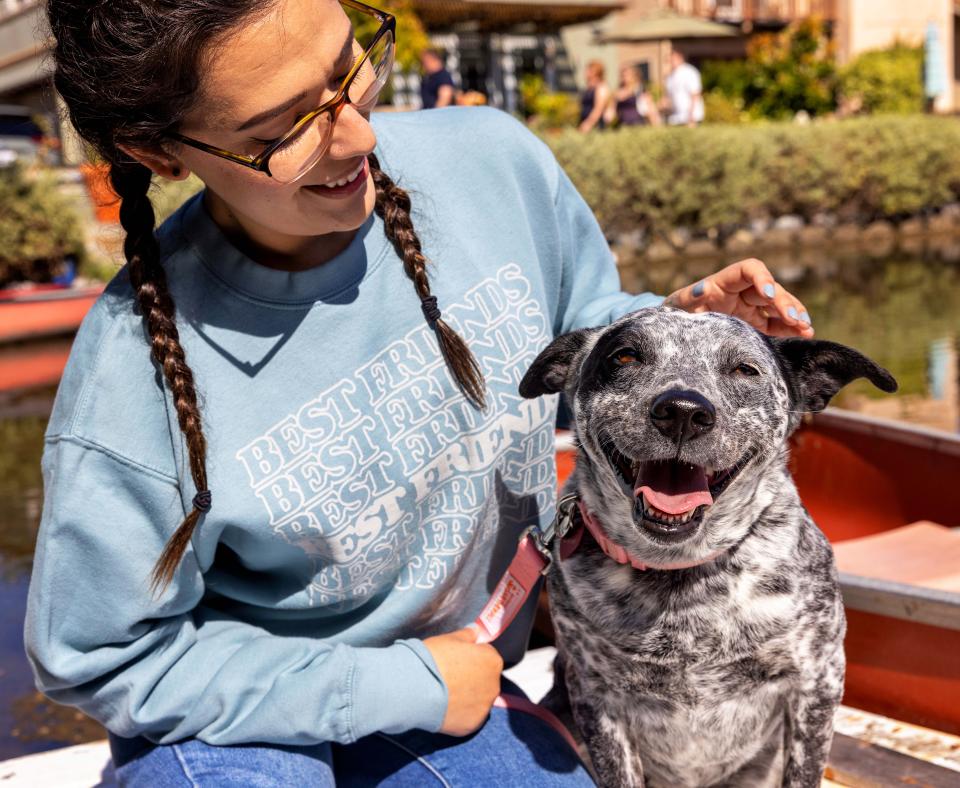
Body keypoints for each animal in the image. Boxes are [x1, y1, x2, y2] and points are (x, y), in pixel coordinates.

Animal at [520, 308, 896, 788]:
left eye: (745, 369)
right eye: (625, 356)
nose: (682, 411)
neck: (681, 575)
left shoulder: (817, 681)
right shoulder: (594, 693)